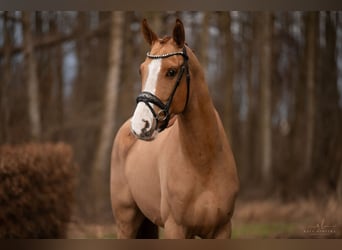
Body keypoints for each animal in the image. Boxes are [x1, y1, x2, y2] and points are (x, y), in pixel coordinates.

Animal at [111, 19, 239, 238]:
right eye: (141, 70)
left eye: (171, 72)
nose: (140, 125)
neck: (203, 162)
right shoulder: (175, 228)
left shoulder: (222, 229)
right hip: (125, 223)